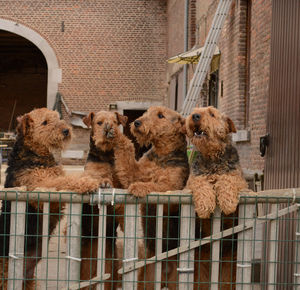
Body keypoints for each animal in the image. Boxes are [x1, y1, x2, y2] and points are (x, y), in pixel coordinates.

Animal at [0, 108, 98, 288]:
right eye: (45, 122)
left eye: (57, 118)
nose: (66, 131)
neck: (35, 154)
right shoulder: (39, 191)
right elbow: (64, 181)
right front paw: (88, 183)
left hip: (29, 280)